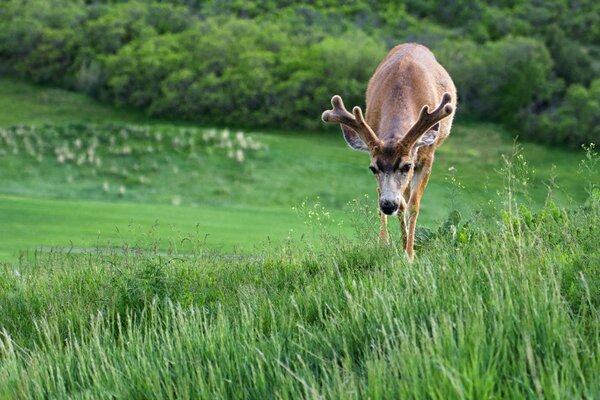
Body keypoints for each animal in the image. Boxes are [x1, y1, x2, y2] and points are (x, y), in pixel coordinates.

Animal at [322, 43, 458, 260]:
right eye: (372, 168)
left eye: (406, 165)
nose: (387, 205)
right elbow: (400, 203)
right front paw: (388, 244)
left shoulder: (426, 158)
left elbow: (413, 206)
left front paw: (409, 255)